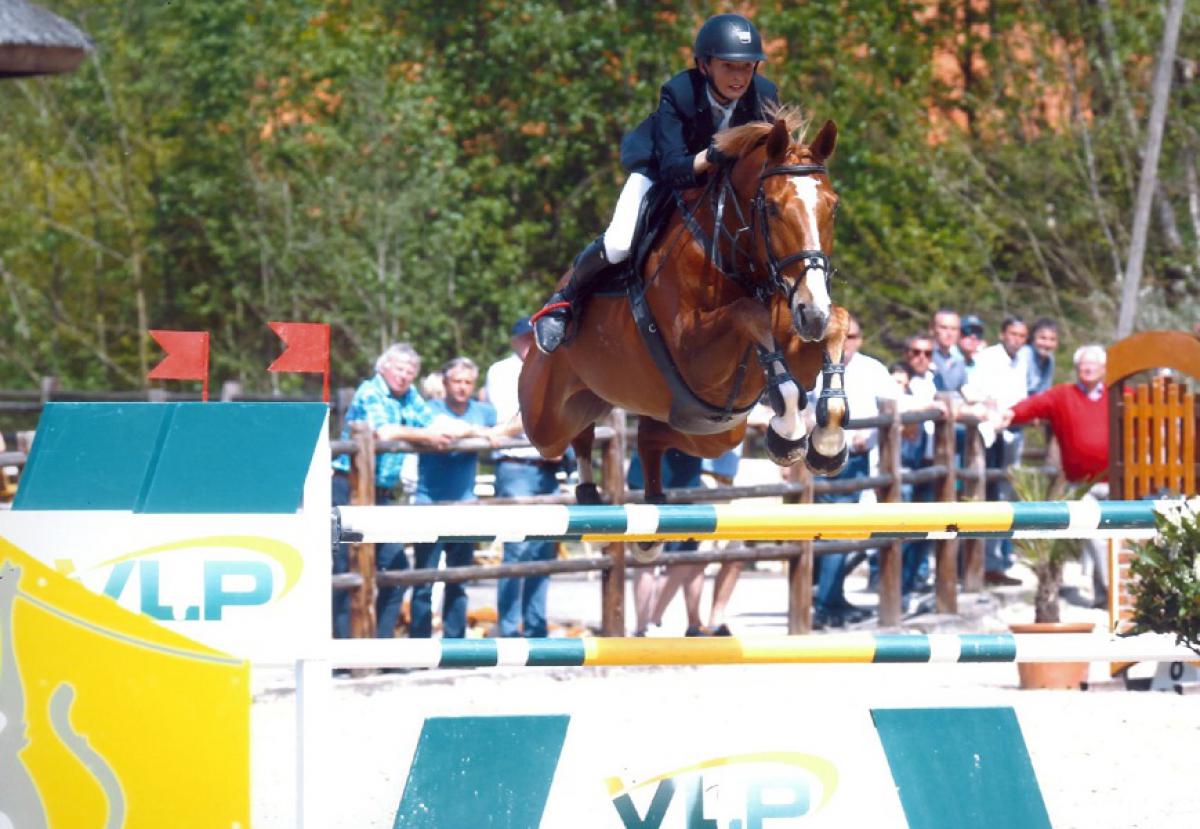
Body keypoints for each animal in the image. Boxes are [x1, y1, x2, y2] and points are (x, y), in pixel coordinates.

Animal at [519, 110, 849, 553]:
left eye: (832, 207)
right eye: (774, 208)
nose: (811, 312)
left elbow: (838, 324)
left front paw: (826, 441)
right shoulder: (694, 353)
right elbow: (749, 316)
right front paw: (790, 422)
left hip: (714, 431)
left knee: (649, 437)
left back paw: (649, 509)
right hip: (546, 419)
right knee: (575, 435)